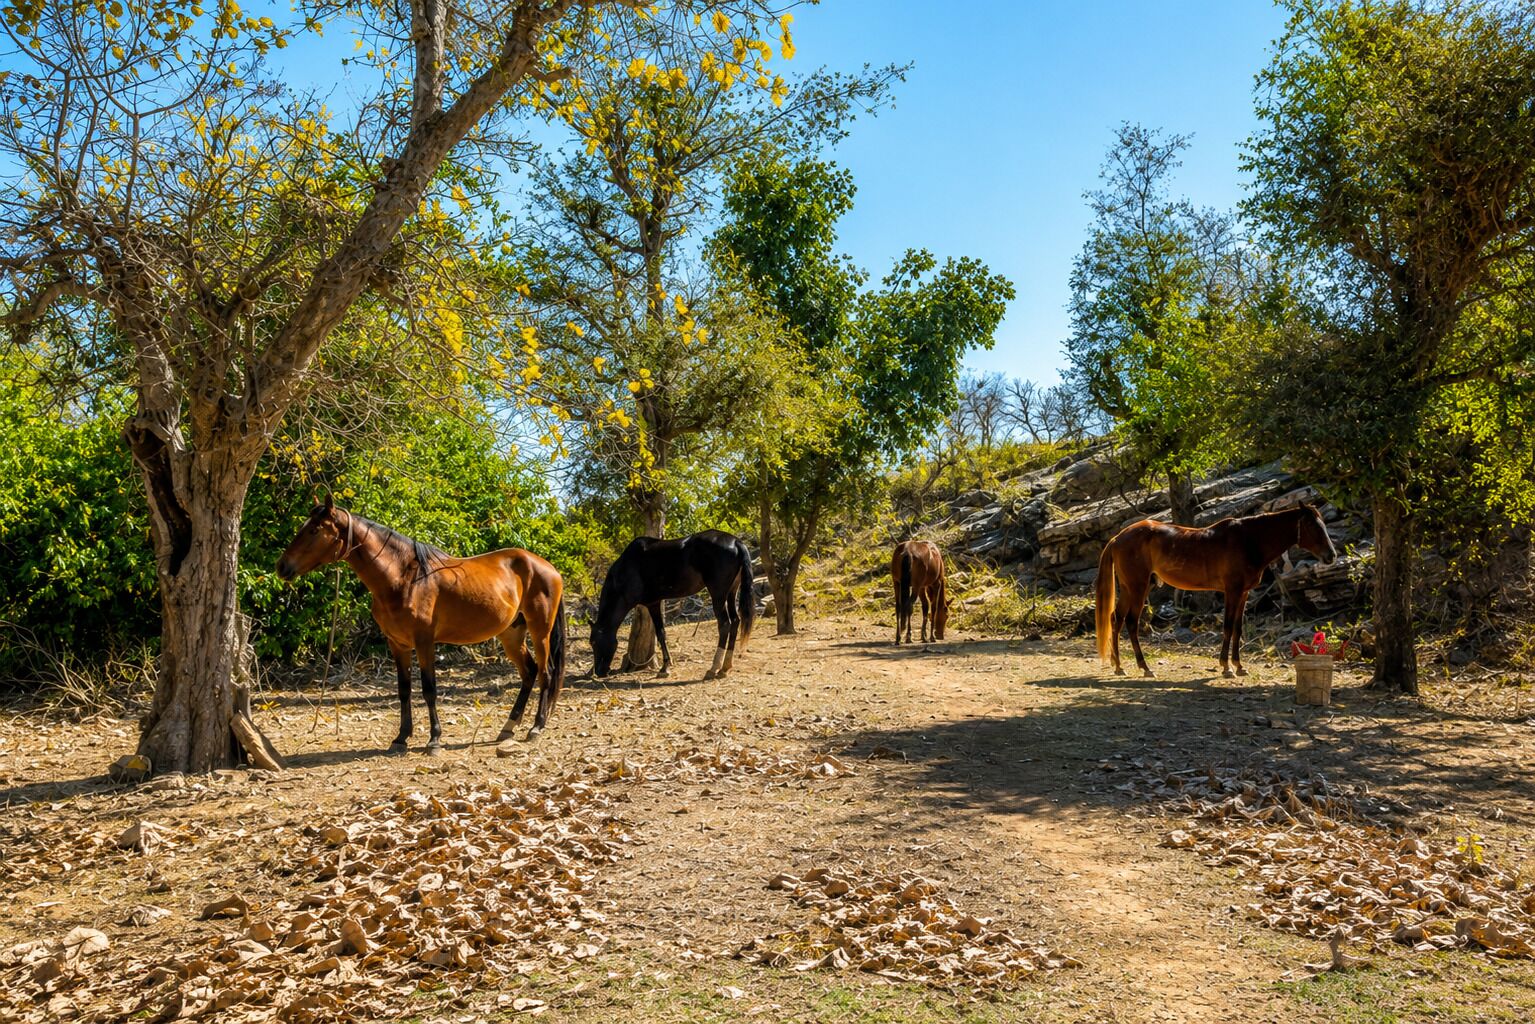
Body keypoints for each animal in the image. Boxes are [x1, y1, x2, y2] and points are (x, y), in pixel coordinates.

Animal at [276, 495, 567, 753]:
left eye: (314, 530)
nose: (281, 567)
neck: (404, 579)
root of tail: (546, 567)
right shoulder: (397, 644)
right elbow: (404, 690)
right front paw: (401, 738)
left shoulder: (424, 642)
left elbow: (429, 689)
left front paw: (434, 739)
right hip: (512, 635)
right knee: (529, 672)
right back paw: (508, 727)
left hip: (540, 631)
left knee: (546, 672)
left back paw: (536, 727)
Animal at [590, 530, 754, 680]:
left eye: (593, 642)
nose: (599, 672)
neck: (627, 568)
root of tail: (735, 542)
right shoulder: (655, 603)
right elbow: (662, 632)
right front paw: (666, 666)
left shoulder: (652, 604)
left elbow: (660, 633)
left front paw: (664, 668)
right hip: (732, 593)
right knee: (735, 621)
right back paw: (725, 667)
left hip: (719, 595)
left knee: (725, 624)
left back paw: (714, 668)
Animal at [1095, 503, 1337, 678]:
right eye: (1313, 527)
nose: (1331, 555)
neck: (1249, 540)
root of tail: (1117, 538)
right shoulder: (1232, 591)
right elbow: (1228, 627)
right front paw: (1226, 667)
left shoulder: (1243, 594)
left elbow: (1238, 629)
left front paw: (1239, 666)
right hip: (1138, 587)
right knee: (1131, 622)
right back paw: (1144, 667)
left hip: (1131, 588)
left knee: (1116, 619)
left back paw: (1119, 666)